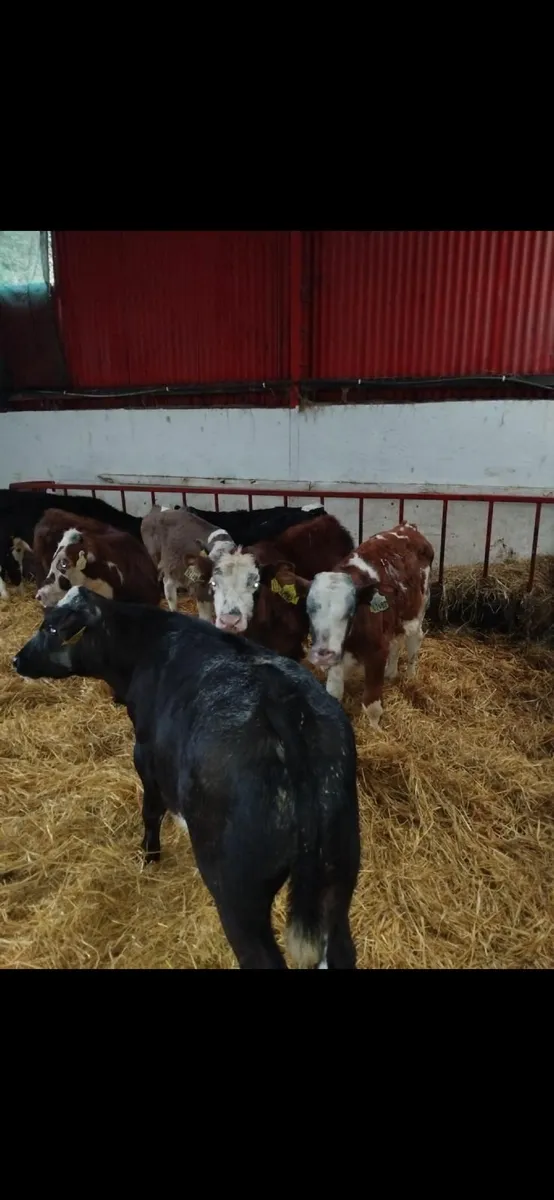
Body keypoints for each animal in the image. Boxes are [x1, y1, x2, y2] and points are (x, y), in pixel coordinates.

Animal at [12, 586, 361, 970]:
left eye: (51, 628)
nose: (16, 660)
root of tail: (284, 703)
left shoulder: (146, 755)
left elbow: (152, 810)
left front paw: (149, 855)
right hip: (336, 874)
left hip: (238, 893)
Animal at [305, 522, 434, 728]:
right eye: (309, 611)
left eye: (350, 611)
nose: (323, 652)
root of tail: (407, 527)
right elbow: (334, 693)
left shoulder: (376, 653)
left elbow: (372, 705)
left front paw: (375, 730)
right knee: (396, 642)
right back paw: (391, 672)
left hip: (418, 607)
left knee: (414, 640)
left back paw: (410, 676)